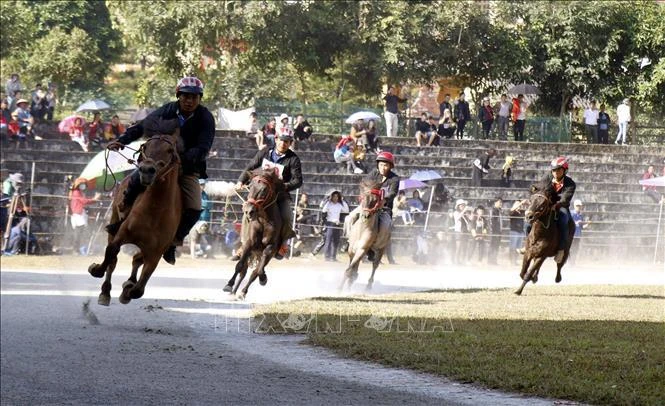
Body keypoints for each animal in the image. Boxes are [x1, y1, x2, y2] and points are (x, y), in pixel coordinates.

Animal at [87, 119, 184, 304]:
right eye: (145, 146)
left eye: (169, 150)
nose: (146, 170)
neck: (155, 211)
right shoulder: (122, 233)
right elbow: (111, 252)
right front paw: (96, 270)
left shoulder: (155, 254)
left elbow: (138, 289)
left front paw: (128, 289)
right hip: (114, 218)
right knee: (114, 260)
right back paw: (105, 291)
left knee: (136, 260)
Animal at [222, 169, 282, 302]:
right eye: (250, 186)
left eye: (264, 189)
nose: (249, 211)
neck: (264, 220)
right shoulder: (248, 244)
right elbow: (239, 266)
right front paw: (228, 285)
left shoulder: (270, 248)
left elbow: (256, 272)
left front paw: (263, 278)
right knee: (243, 271)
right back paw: (233, 292)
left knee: (254, 271)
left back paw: (243, 291)